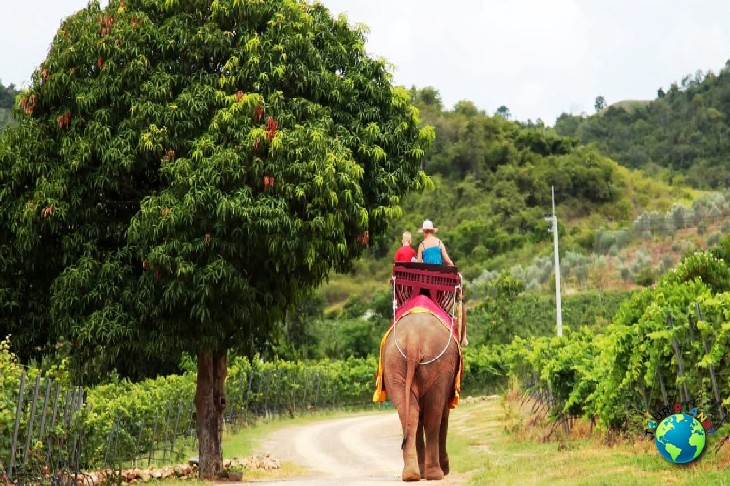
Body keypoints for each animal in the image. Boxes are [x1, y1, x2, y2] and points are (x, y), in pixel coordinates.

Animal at [378, 310, 458, 480]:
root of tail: (413, 342)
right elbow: (444, 414)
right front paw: (445, 470)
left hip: (394, 365)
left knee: (409, 415)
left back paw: (412, 475)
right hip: (438, 367)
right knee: (434, 416)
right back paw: (436, 474)